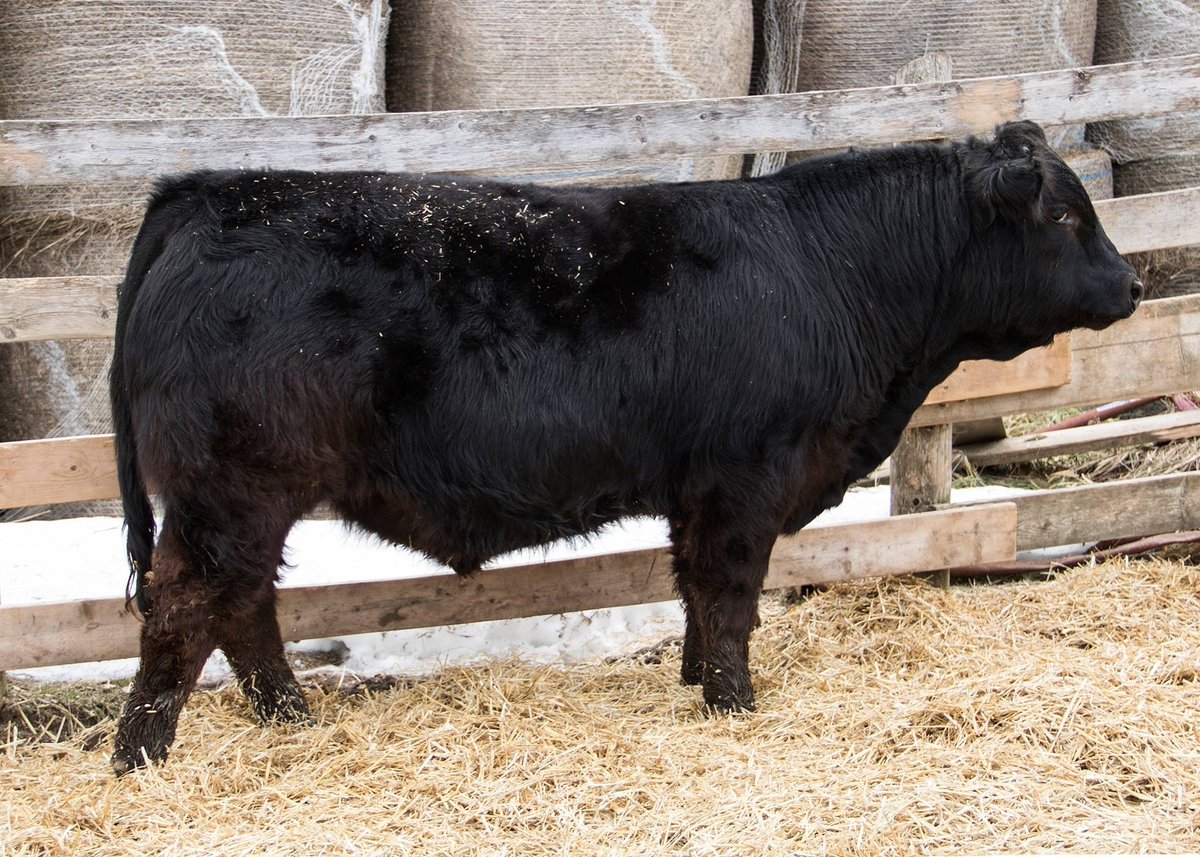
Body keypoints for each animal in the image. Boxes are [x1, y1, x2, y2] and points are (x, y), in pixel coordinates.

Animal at [108, 120, 1141, 774]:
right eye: (1063, 216)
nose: (1132, 285)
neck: (842, 274)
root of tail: (208, 190)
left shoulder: (698, 485)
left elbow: (692, 589)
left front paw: (693, 680)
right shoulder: (745, 476)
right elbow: (729, 592)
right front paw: (734, 703)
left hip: (245, 497)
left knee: (243, 607)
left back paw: (291, 718)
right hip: (232, 487)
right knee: (187, 610)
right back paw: (142, 756)